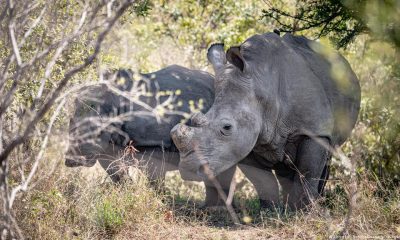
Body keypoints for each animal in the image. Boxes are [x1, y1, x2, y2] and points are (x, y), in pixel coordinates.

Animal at [170, 32, 360, 209]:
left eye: (227, 127)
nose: (188, 169)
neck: (260, 84)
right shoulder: (246, 141)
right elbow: (263, 180)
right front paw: (270, 211)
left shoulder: (314, 131)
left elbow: (308, 173)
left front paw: (305, 212)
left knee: (326, 157)